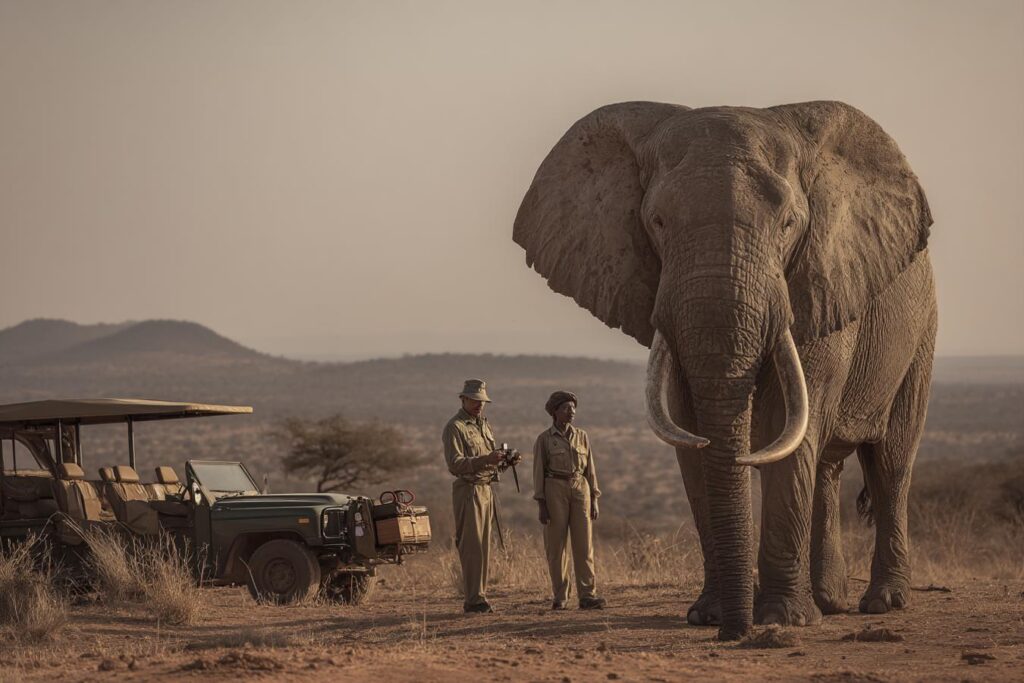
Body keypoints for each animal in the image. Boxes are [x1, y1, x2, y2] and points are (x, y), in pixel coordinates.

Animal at [513, 101, 936, 640]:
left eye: (790, 223)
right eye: (657, 221)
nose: (736, 633)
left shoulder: (819, 282)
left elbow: (785, 426)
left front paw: (782, 618)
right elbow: (690, 432)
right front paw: (708, 615)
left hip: (921, 330)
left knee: (891, 462)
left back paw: (882, 602)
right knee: (827, 467)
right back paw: (829, 602)